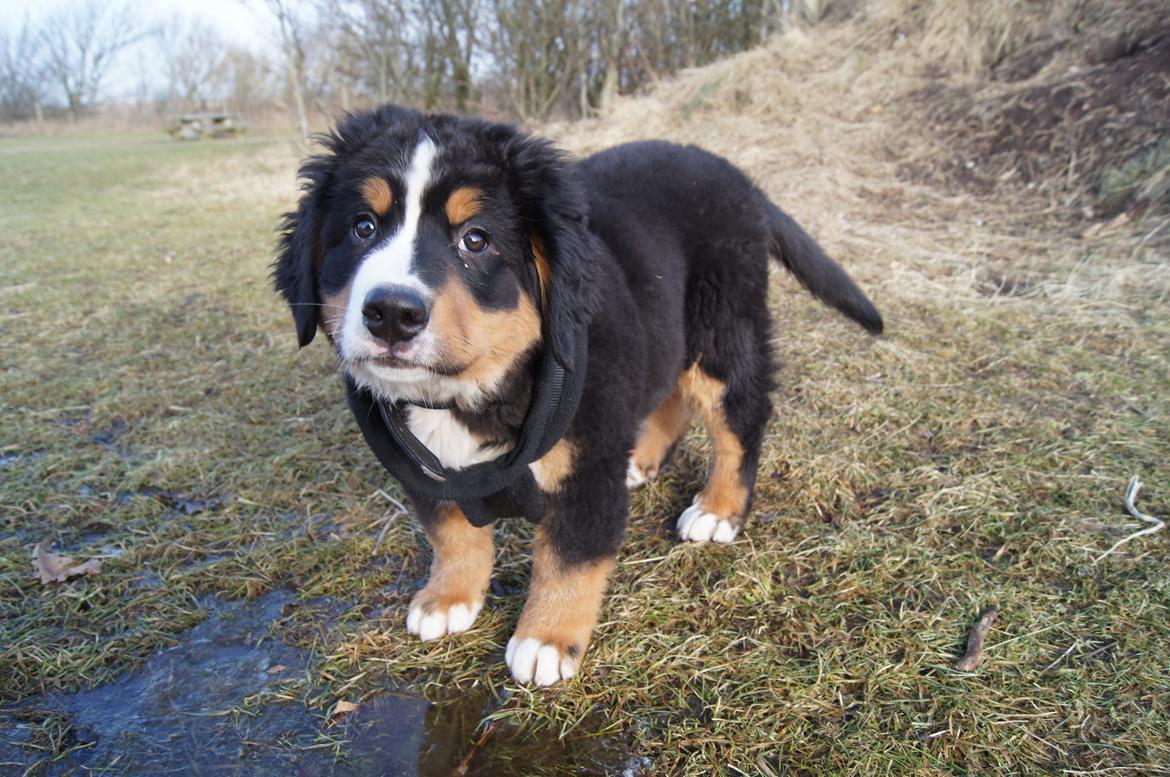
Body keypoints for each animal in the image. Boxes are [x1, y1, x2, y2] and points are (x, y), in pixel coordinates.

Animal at [271, 104, 879, 688]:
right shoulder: (426, 473)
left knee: (741, 420)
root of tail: (736, 176)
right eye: (362, 227)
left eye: (475, 240)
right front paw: (449, 598)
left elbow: (568, 558)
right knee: (670, 395)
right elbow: (452, 535)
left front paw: (545, 638)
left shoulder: (588, 464)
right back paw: (642, 460)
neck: (467, 393)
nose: (392, 312)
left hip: (721, 332)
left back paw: (718, 510)